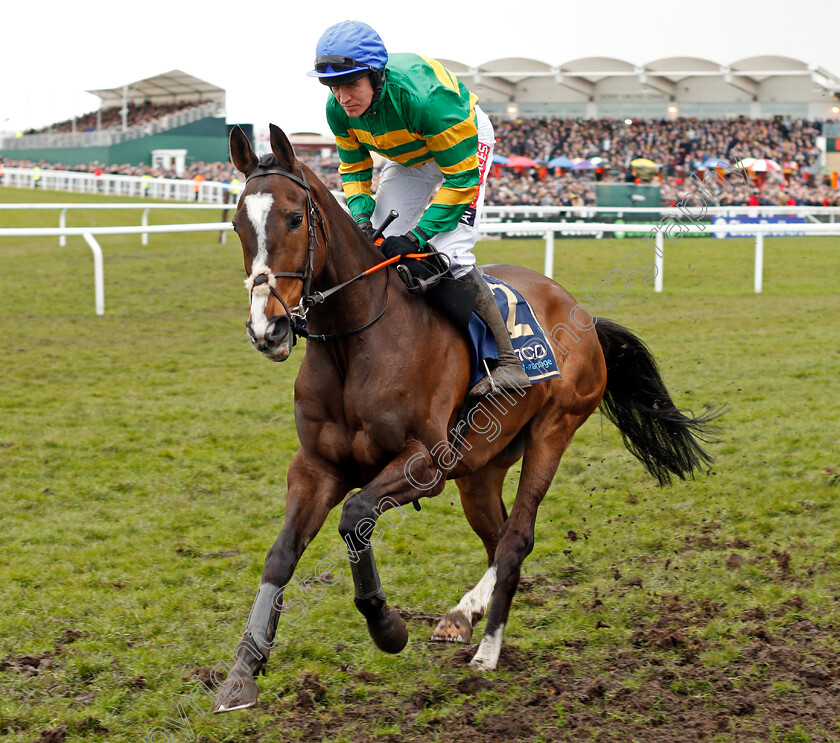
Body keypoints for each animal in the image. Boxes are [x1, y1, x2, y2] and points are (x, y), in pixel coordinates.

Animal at [213, 125, 720, 712]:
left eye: (295, 218)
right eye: (237, 224)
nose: (266, 328)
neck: (356, 341)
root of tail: (585, 315)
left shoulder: (425, 464)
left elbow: (355, 516)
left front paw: (388, 627)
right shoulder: (316, 466)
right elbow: (281, 555)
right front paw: (243, 672)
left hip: (553, 430)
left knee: (517, 537)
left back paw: (478, 637)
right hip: (480, 469)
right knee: (499, 540)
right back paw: (474, 623)